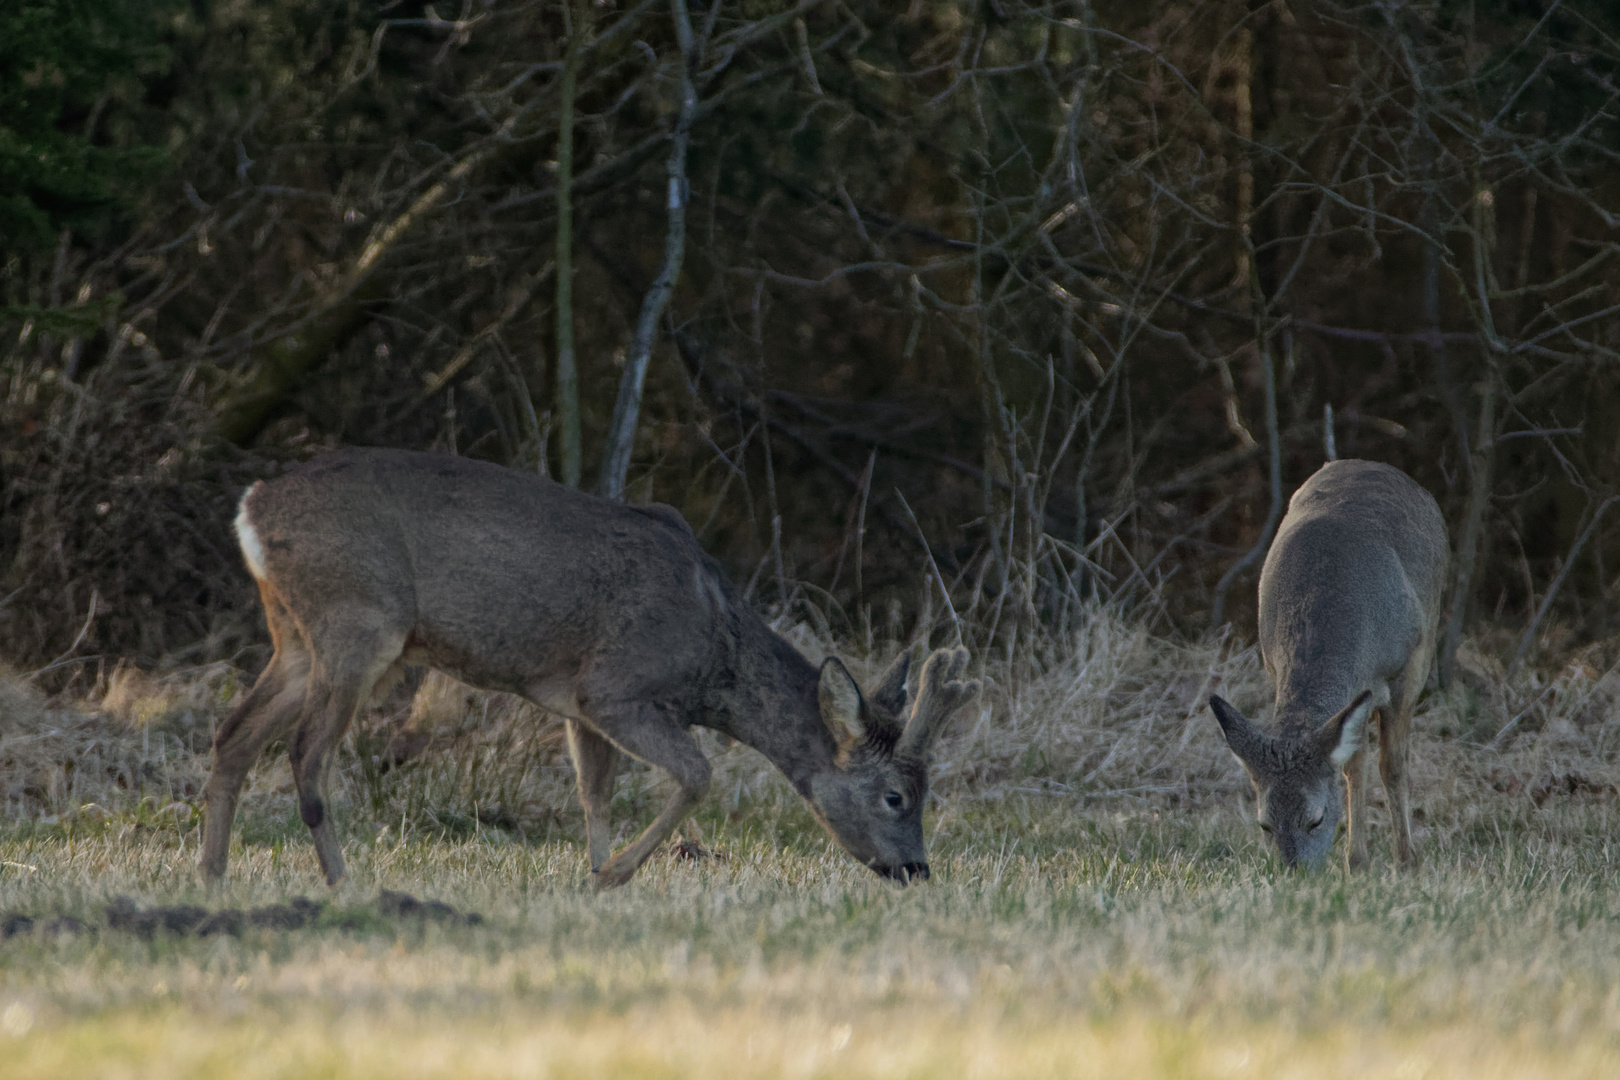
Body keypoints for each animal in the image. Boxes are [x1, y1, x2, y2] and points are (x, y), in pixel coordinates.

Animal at [196, 446, 978, 887]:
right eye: (896, 797)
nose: (916, 870)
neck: (713, 653)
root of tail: (251, 507)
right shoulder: (615, 689)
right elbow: (698, 773)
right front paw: (616, 876)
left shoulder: (576, 701)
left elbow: (593, 792)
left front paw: (596, 871)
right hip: (357, 621)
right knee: (305, 753)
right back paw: (341, 882)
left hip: (296, 635)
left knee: (233, 736)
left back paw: (212, 879)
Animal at [1211, 459, 1451, 874]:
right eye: (1265, 825)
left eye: (1316, 819)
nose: (1294, 872)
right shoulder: (1274, 664)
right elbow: (1353, 764)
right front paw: (1358, 862)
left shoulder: (1408, 665)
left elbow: (1393, 765)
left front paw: (1406, 860)